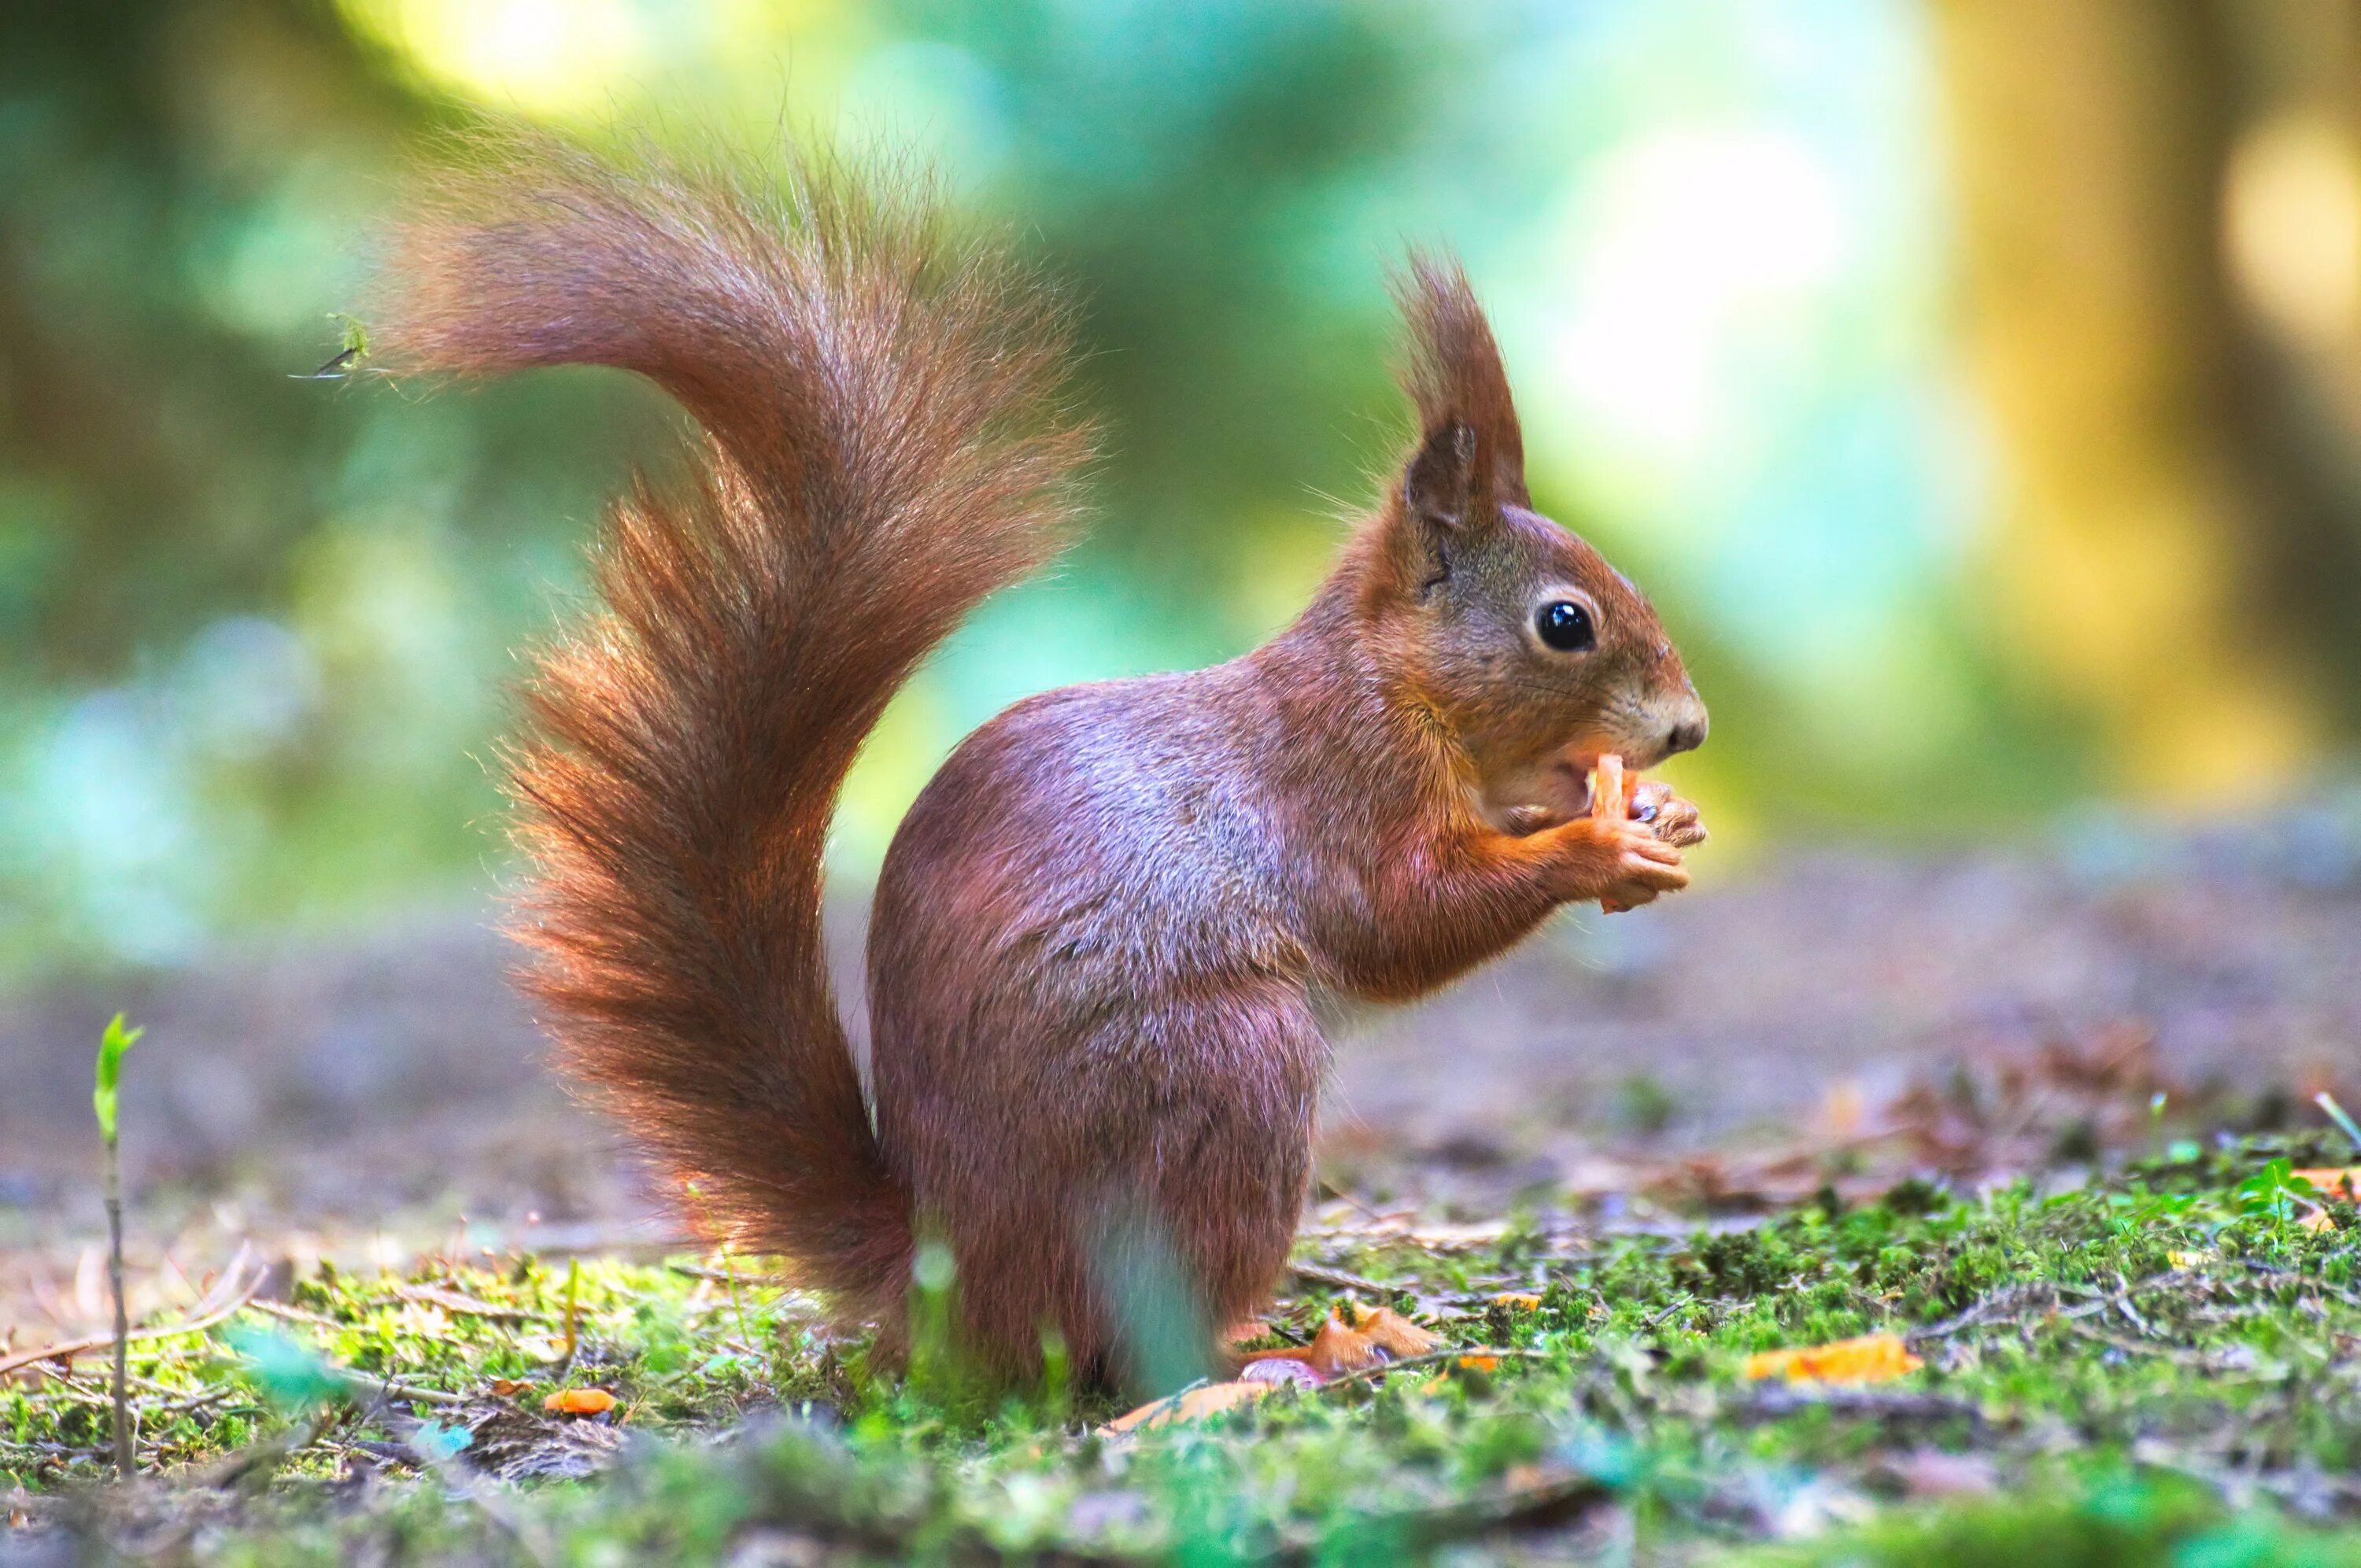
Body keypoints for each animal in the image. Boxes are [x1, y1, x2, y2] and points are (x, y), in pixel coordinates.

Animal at [368, 131, 1709, 1388]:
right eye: (1564, 623)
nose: (1689, 727)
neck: (1400, 686)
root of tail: (952, 1274)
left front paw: (1654, 812)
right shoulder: (1340, 786)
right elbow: (1406, 917)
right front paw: (1597, 843)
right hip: (1228, 1079)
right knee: (1138, 1346)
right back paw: (1282, 1350)